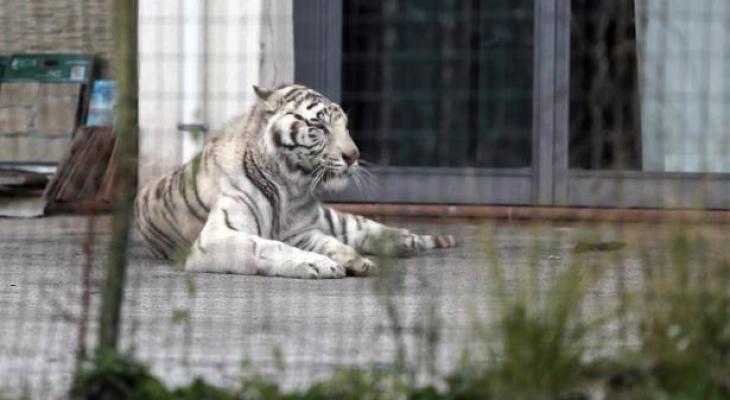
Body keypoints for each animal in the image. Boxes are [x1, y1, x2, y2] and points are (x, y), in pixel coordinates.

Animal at [134, 84, 456, 278]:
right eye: (320, 126)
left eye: (345, 126)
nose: (354, 155)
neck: (291, 188)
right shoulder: (217, 237)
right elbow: (269, 246)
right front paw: (319, 263)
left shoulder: (303, 230)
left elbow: (332, 242)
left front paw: (353, 260)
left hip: (331, 217)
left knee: (358, 226)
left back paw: (407, 240)